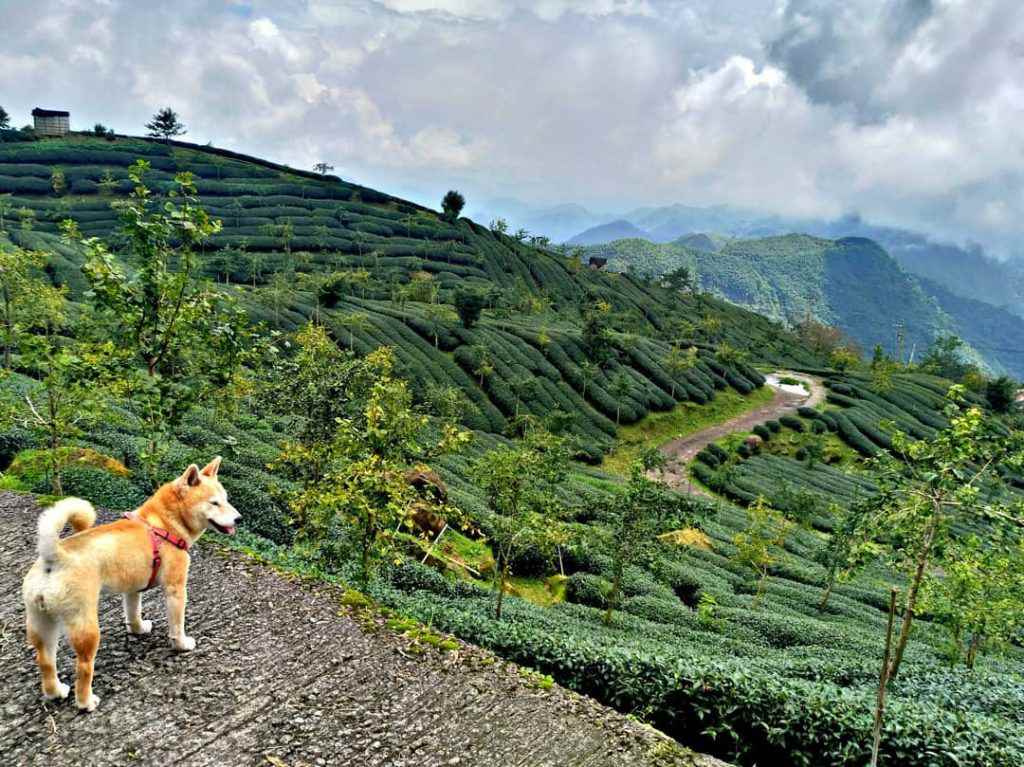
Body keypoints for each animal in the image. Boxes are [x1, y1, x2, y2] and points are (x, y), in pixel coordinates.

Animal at [22, 454, 239, 712]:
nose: (239, 518)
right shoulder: (176, 588)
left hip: (42, 622)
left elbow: (133, 613)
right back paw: (86, 702)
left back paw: (56, 691)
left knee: (45, 661)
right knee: (83, 668)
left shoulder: (133, 588)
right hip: (85, 626)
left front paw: (138, 629)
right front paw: (182, 644)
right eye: (214, 503)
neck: (164, 524)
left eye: (226, 499)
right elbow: (177, 625)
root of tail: (53, 557)